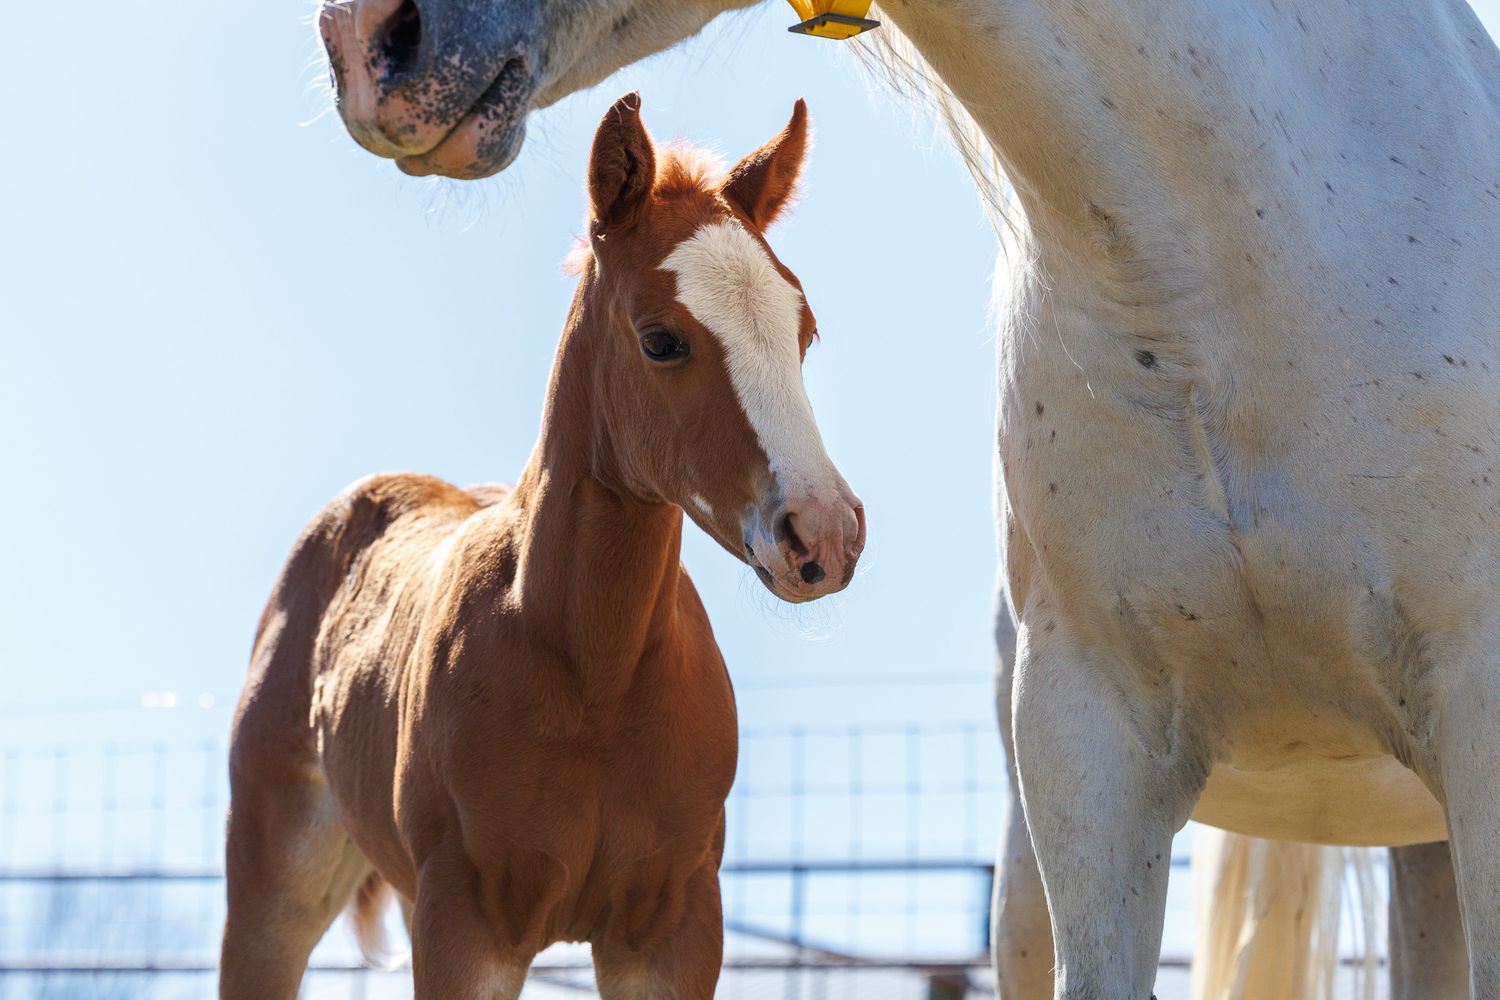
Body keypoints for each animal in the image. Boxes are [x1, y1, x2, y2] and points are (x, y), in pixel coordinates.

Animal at [219, 93, 866, 999]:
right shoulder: (466, 927)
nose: (823, 533)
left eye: (802, 330)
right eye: (661, 340)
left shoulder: (673, 928)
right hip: (274, 889)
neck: (596, 671)